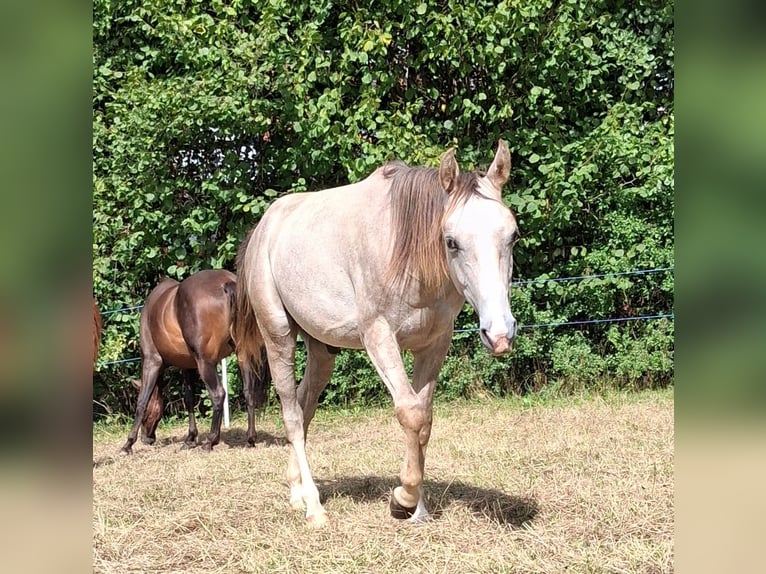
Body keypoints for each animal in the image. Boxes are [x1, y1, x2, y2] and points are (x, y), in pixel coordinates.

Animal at [120, 269, 270, 455]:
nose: (146, 438)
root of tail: (227, 283)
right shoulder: (188, 366)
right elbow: (189, 398)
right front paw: (190, 438)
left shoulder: (152, 361)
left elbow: (142, 400)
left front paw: (128, 443)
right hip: (243, 355)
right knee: (249, 392)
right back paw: (250, 439)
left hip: (205, 363)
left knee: (218, 395)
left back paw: (211, 441)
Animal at [233, 140, 519, 526]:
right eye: (451, 241)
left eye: (513, 235)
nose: (500, 334)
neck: (406, 256)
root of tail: (264, 226)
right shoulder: (379, 338)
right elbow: (410, 413)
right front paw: (402, 499)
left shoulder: (434, 344)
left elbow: (424, 419)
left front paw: (418, 509)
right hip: (278, 336)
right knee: (292, 414)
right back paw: (313, 507)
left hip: (321, 350)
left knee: (305, 406)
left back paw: (296, 492)